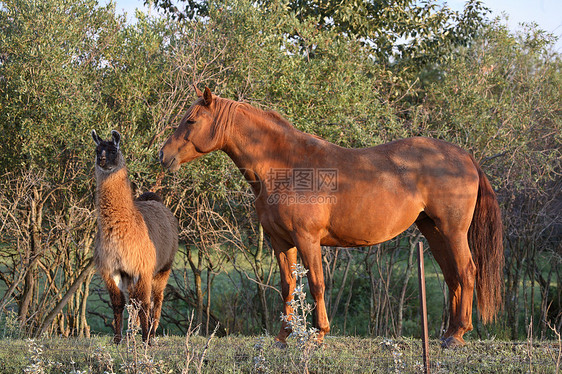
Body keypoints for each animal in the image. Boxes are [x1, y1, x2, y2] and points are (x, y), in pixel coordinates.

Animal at [159, 87, 504, 348]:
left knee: (467, 272)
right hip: (434, 231)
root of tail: (466, 156)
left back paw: (457, 335)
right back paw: (448, 333)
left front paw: (318, 335)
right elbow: (287, 286)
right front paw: (283, 338)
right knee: (452, 276)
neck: (285, 165)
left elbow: (316, 284)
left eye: (191, 120)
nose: (163, 156)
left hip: (453, 231)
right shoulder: (281, 242)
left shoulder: (307, 239)